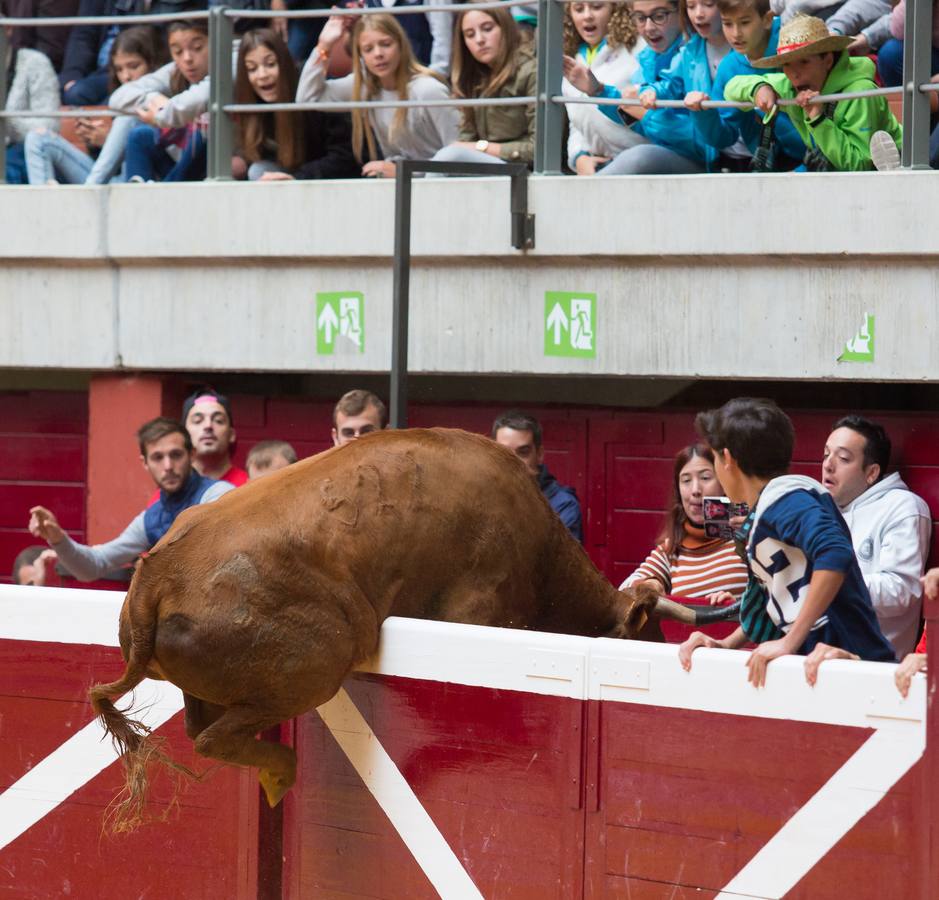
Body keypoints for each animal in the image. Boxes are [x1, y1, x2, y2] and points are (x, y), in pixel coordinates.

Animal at [92, 426, 716, 828]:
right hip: (320, 661)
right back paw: (283, 774)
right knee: (214, 736)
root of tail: (155, 576)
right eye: (644, 638)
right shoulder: (480, 609)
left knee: (200, 729)